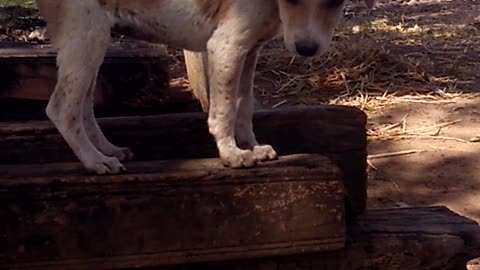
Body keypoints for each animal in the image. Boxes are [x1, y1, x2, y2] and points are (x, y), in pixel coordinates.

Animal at [36, 0, 376, 175]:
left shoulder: (249, 51)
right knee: (62, 109)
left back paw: (106, 149)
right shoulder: (225, 48)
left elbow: (243, 107)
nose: (306, 49)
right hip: (87, 36)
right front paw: (232, 154)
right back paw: (95, 161)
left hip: (91, 43)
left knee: (83, 107)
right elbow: (224, 111)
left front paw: (251, 146)